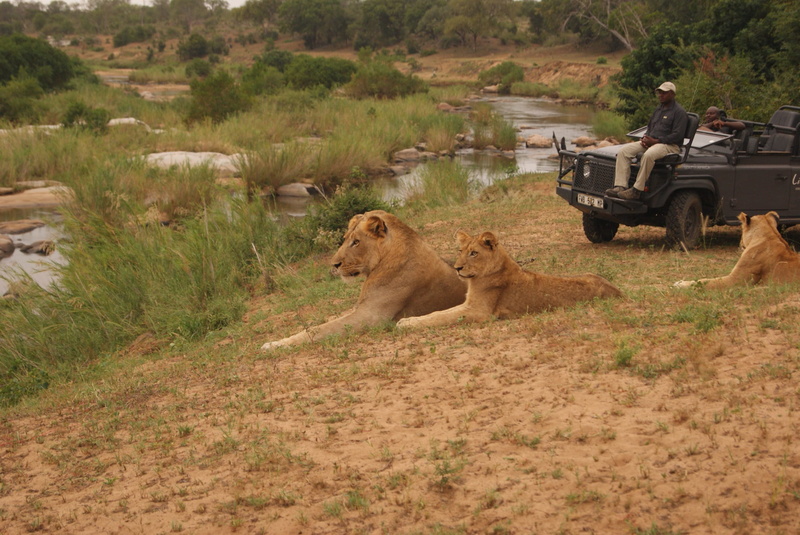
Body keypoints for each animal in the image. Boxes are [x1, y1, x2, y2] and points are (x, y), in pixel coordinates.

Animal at [261, 210, 467, 350]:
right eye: (345, 239)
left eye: (356, 242)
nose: (334, 264)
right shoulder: (359, 309)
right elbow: (319, 324)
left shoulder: (370, 317)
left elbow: (318, 330)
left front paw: (274, 344)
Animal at [396, 230, 623, 329]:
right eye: (460, 251)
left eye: (474, 253)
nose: (457, 268)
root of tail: (618, 291)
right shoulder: (469, 304)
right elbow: (439, 313)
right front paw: (409, 320)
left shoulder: (479, 312)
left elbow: (442, 318)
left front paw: (406, 323)